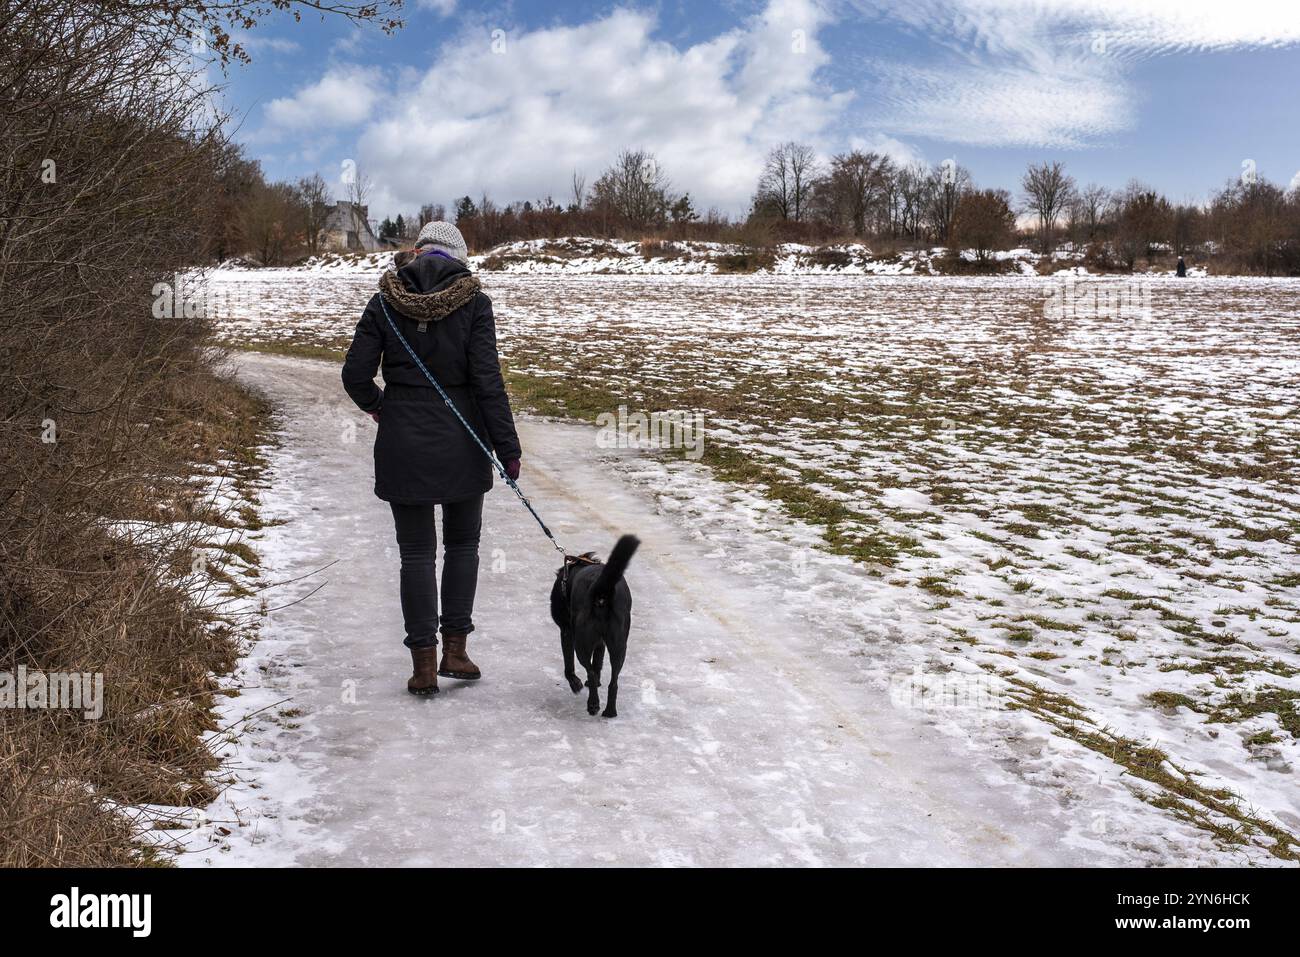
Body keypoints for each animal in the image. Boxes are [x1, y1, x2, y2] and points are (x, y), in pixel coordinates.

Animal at [548, 535, 639, 712]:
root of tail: (601, 592)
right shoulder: (600, 642)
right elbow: (598, 663)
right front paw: (596, 682)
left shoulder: (566, 631)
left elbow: (569, 664)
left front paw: (575, 683)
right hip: (619, 645)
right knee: (613, 681)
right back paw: (609, 711)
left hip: (581, 642)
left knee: (588, 669)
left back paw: (593, 704)